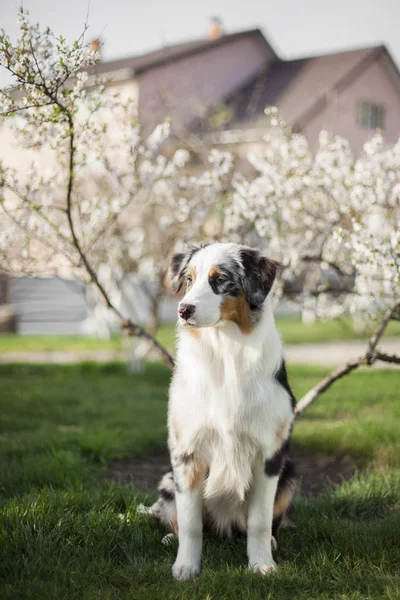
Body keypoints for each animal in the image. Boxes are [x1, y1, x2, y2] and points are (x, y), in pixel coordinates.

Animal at [139, 241, 298, 580]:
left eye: (220, 280)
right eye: (188, 279)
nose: (183, 310)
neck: (225, 351)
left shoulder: (269, 454)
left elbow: (260, 520)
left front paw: (262, 564)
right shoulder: (186, 452)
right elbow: (190, 523)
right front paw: (185, 567)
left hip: (290, 473)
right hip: (167, 479)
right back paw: (169, 537)